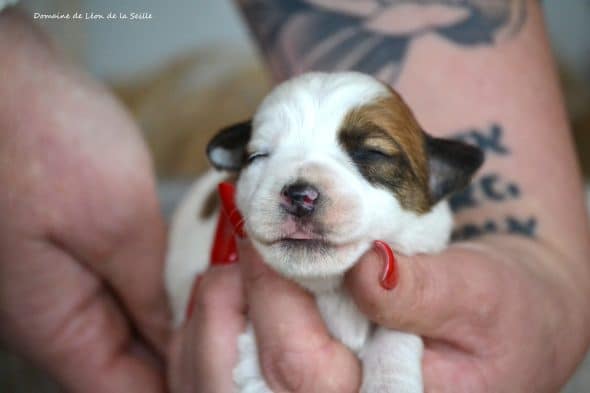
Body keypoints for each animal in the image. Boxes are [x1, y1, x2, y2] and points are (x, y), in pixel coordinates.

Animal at [165, 72, 486, 390]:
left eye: (372, 153)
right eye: (257, 156)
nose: (299, 195)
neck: (333, 289)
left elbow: (395, 333)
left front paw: (389, 381)